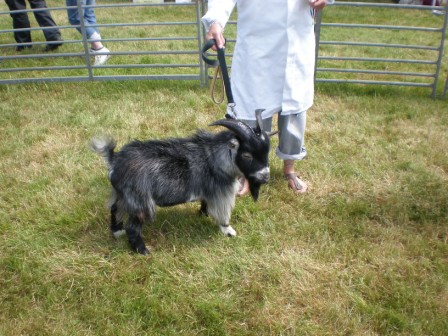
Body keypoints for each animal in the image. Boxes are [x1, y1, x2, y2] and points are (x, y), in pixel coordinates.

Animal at [91, 114, 270, 253]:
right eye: (247, 155)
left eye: (266, 153)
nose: (266, 177)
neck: (215, 156)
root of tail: (114, 160)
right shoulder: (222, 192)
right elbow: (223, 213)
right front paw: (228, 231)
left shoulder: (208, 191)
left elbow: (205, 202)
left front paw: (203, 213)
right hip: (140, 201)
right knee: (133, 227)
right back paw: (143, 250)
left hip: (122, 195)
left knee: (115, 209)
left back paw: (117, 232)